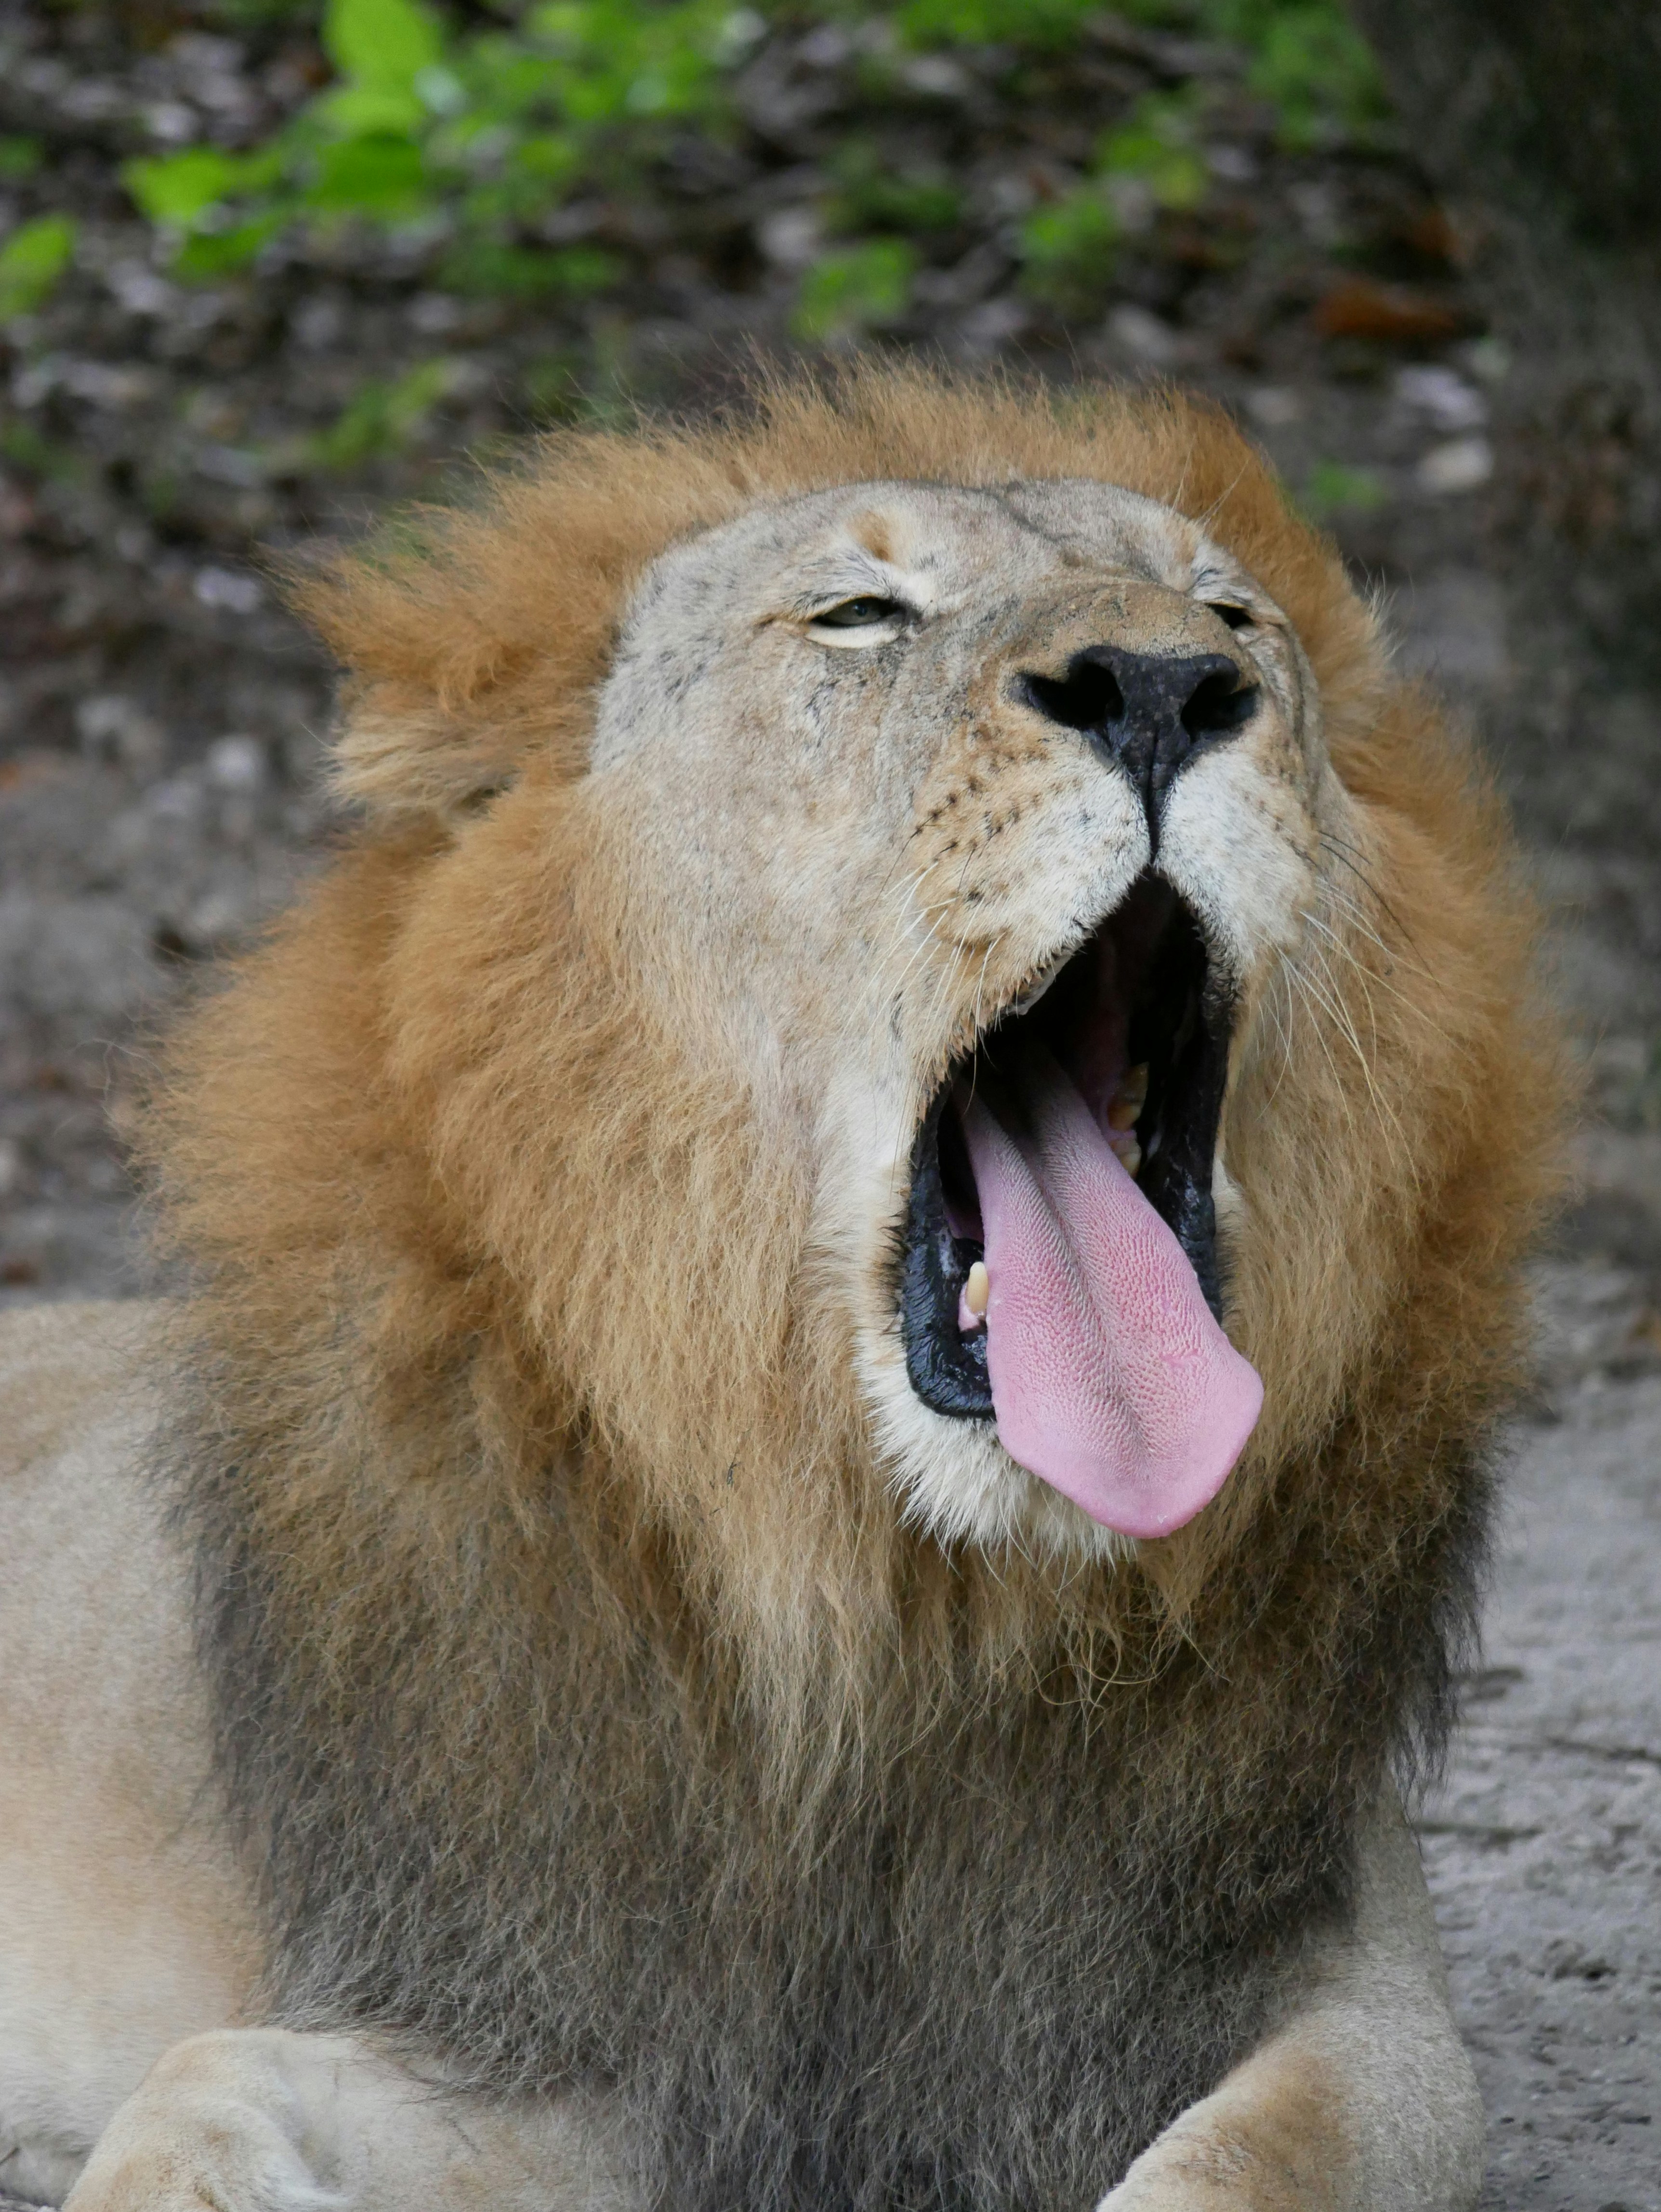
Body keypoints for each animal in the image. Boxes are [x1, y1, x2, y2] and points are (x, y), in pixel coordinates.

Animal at [0, 366, 1559, 2212]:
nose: (1167, 685)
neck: (895, 1616)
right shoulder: (559, 2038)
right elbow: (199, 2096)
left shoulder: (1339, 1997)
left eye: (1231, 614)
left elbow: (1246, 2161)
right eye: (859, 616)